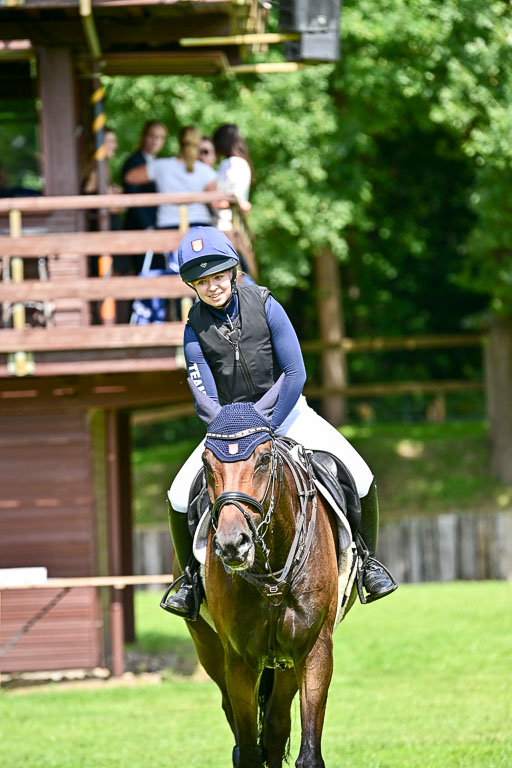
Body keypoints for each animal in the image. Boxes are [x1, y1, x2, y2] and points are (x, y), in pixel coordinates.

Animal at [177, 379, 357, 768]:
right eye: (206, 463)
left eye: (262, 459)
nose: (232, 544)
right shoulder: (239, 660)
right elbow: (246, 751)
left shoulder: (314, 650)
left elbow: (307, 753)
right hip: (209, 648)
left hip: (287, 662)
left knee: (275, 728)